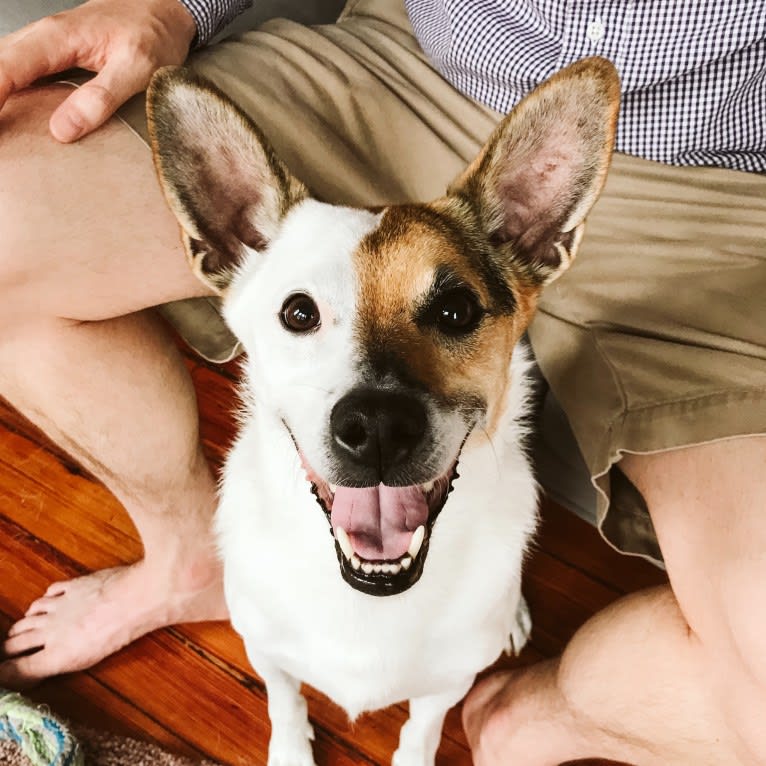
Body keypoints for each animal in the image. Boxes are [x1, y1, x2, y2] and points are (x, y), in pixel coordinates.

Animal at [147, 55, 620, 766]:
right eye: (298, 313)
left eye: (456, 310)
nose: (375, 427)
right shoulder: (265, 650)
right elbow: (284, 703)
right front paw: (291, 750)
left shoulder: (447, 683)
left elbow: (420, 730)